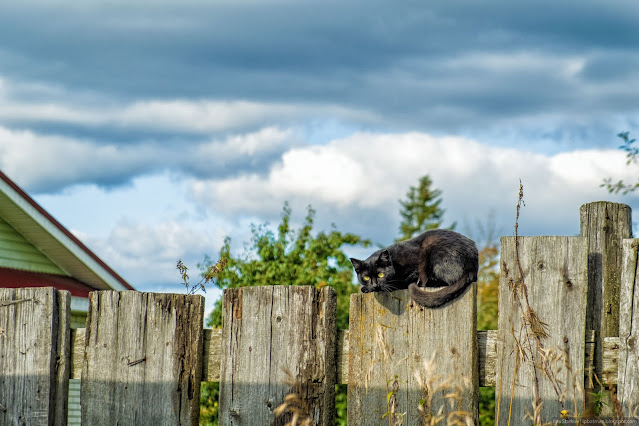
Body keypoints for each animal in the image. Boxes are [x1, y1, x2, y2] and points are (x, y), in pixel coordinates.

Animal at [350, 230, 480, 306]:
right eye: (366, 277)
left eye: (381, 274)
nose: (375, 285)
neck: (395, 262)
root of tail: (473, 264)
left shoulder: (415, 269)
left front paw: (365, 289)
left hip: (430, 246)